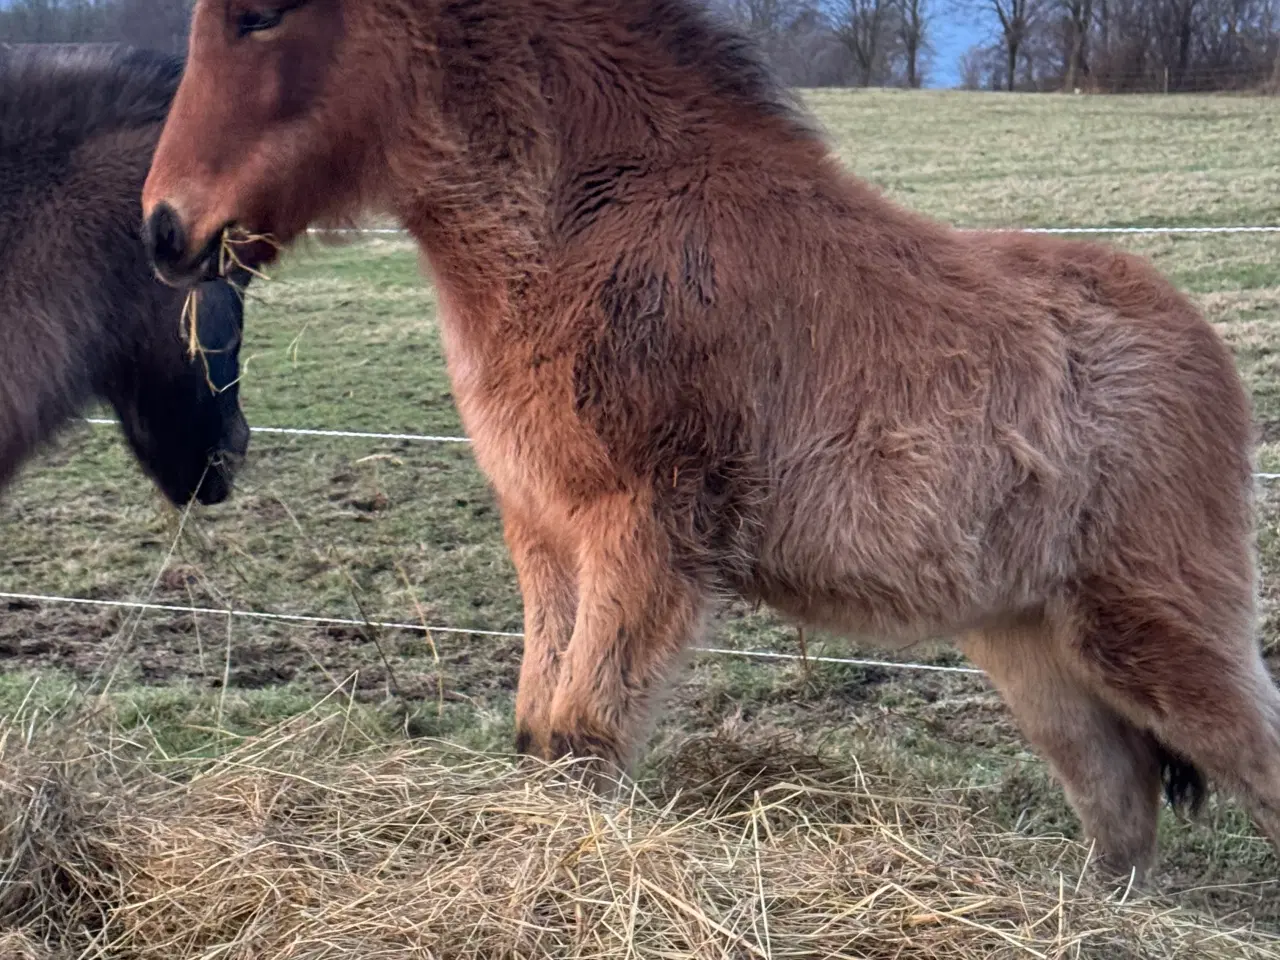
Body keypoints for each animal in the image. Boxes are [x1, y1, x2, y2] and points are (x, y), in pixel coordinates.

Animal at [140, 0, 1280, 885]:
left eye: (260, 15)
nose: (163, 230)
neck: (597, 220)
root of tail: (1201, 349)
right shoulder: (545, 538)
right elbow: (536, 737)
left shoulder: (643, 535)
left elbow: (583, 741)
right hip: (1032, 644)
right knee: (1119, 805)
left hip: (1157, 632)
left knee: (1246, 762)